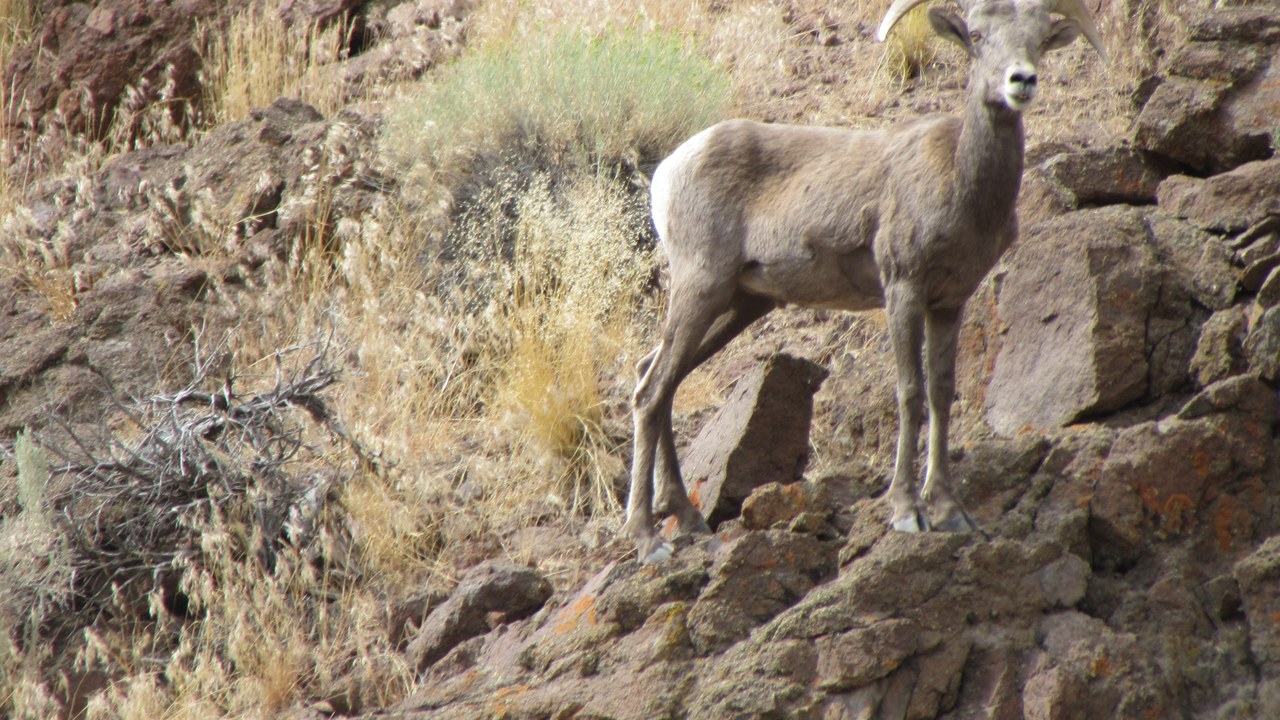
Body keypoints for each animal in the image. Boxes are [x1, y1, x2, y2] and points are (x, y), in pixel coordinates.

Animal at [623, 0, 1109, 563]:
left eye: (1038, 39)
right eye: (977, 36)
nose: (1021, 81)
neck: (961, 183)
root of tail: (667, 172)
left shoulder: (949, 302)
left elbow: (941, 394)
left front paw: (950, 512)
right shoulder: (903, 290)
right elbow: (910, 393)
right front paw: (906, 512)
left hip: (737, 304)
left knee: (659, 379)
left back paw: (688, 518)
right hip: (702, 288)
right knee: (650, 393)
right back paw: (648, 540)